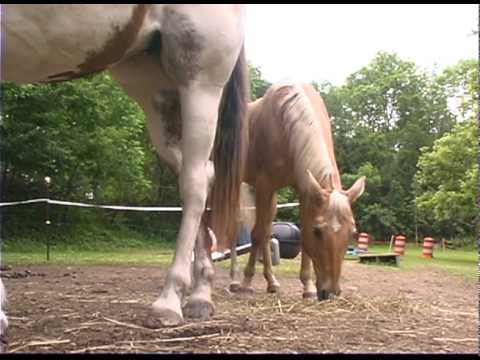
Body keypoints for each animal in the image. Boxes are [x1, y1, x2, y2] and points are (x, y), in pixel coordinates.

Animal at [3, 4, 249, 328]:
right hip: (154, 87)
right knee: (200, 175)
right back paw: (200, 297)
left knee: (194, 184)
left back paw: (168, 303)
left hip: (199, 79)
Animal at [229, 81, 364, 300]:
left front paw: (307, 287)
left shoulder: (304, 191)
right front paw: (246, 282)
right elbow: (256, 234)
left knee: (266, 231)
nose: (330, 293)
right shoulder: (265, 185)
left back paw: (272, 282)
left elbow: (293, 237)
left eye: (353, 232)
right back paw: (233, 279)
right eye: (318, 231)